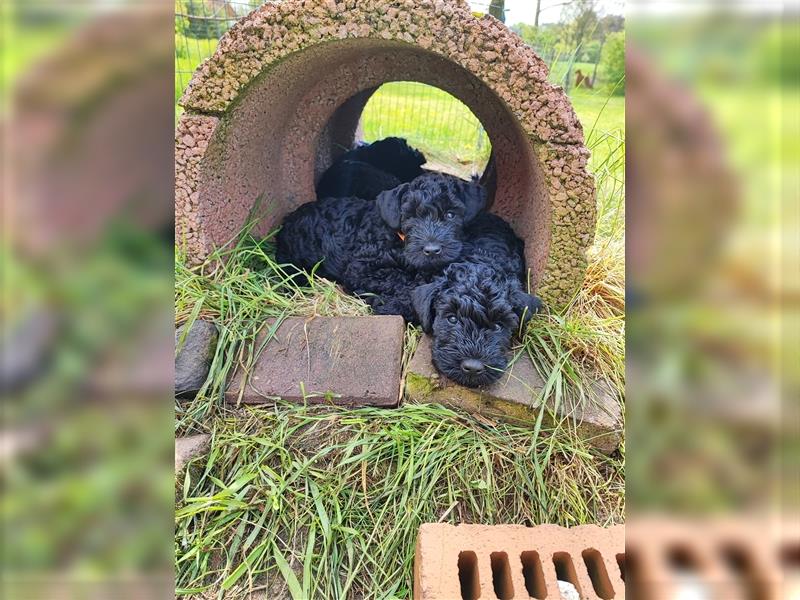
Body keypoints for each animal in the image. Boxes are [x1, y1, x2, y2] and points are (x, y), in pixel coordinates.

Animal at [276, 172, 488, 322]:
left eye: (451, 214)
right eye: (410, 216)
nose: (432, 250)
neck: (399, 241)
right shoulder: (361, 268)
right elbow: (398, 278)